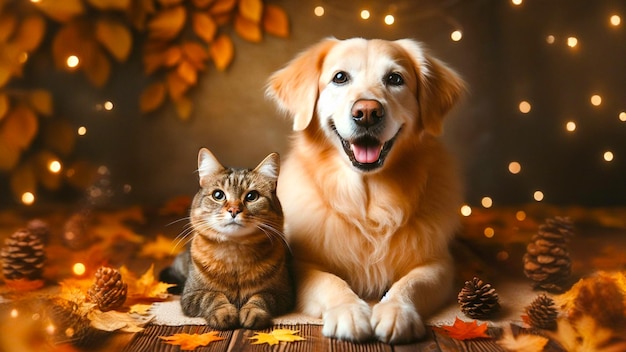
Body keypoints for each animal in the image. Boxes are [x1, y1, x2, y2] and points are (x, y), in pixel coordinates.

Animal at [163, 148, 294, 330]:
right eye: (218, 195)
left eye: (252, 196)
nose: (234, 210)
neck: (235, 252)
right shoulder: (191, 295)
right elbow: (212, 296)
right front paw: (224, 312)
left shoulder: (282, 294)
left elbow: (260, 298)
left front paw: (252, 312)